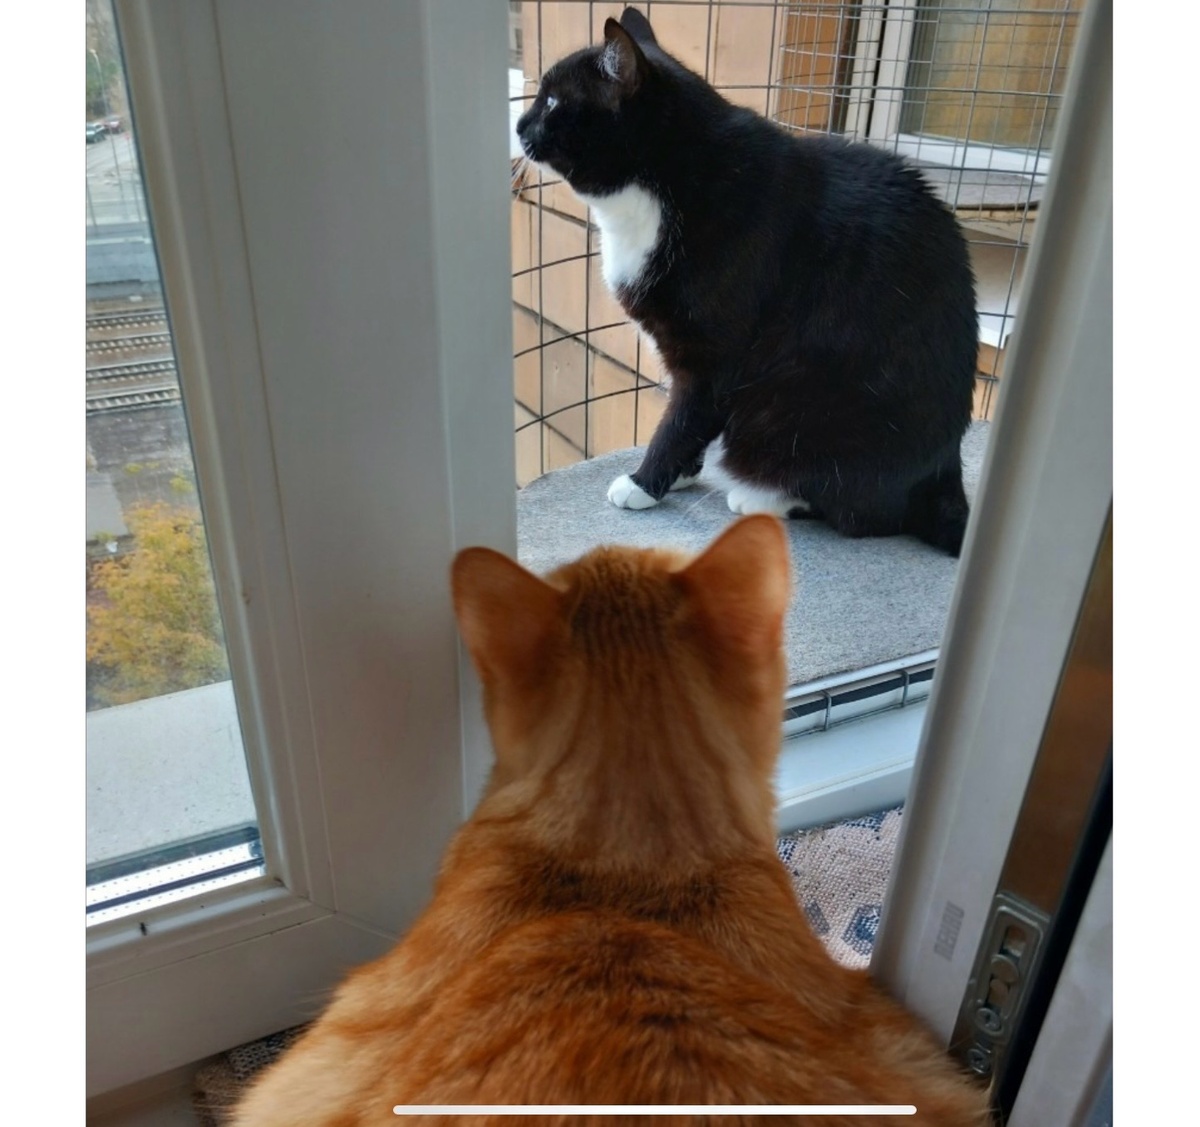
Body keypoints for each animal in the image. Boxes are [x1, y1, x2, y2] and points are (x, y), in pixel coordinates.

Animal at [515, 9, 978, 556]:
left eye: (552, 102)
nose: (519, 124)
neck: (665, 180)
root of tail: (947, 472)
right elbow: (687, 417)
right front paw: (680, 474)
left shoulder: (715, 354)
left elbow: (683, 417)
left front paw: (644, 483)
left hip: (808, 410)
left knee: (865, 513)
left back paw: (765, 497)